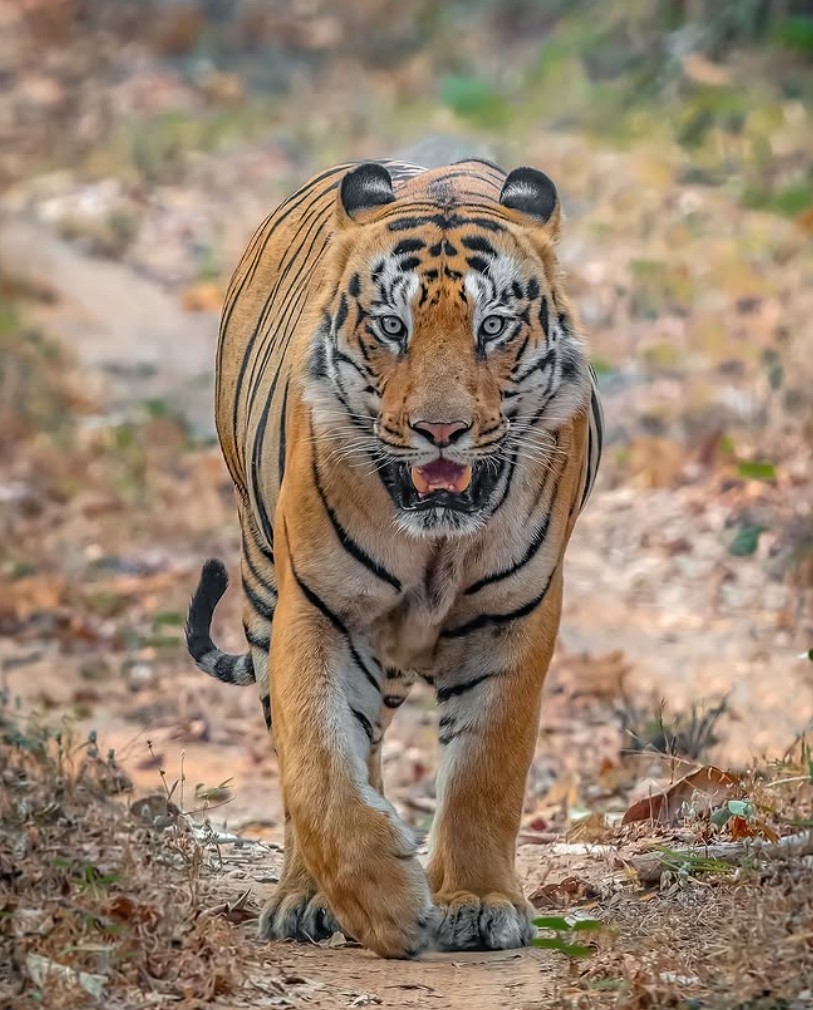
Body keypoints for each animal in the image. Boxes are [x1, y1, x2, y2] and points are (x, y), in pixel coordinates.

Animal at [185, 158, 603, 959]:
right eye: (391, 327)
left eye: (492, 327)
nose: (439, 430)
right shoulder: (317, 607)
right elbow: (317, 762)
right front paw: (382, 904)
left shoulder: (513, 616)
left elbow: (485, 769)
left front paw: (478, 901)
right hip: (261, 582)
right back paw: (306, 897)